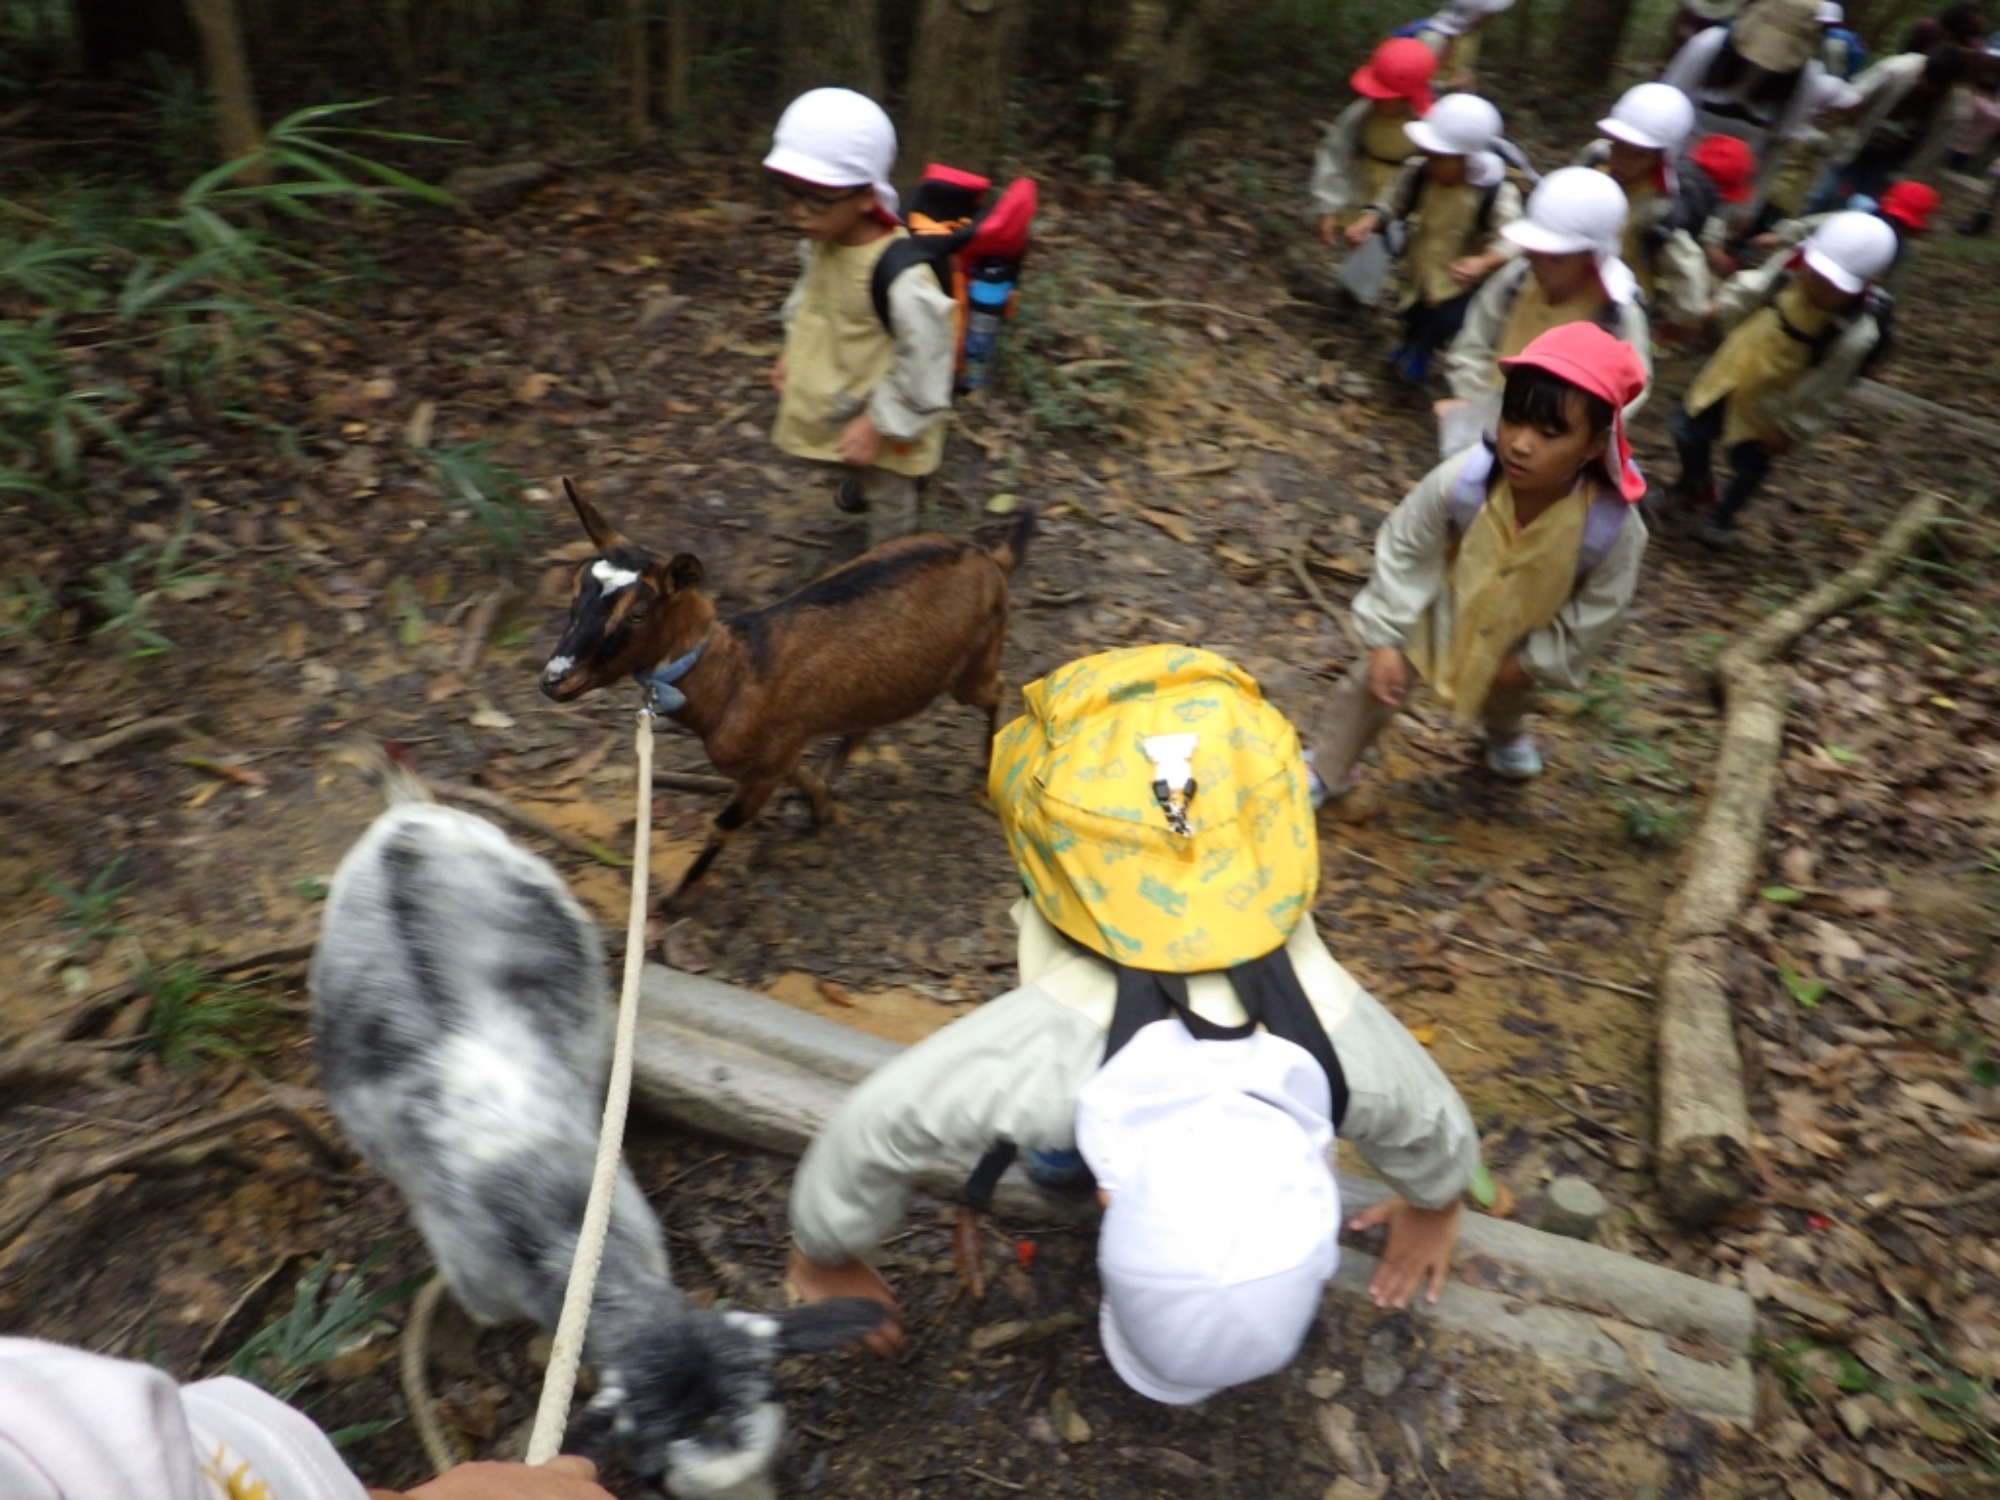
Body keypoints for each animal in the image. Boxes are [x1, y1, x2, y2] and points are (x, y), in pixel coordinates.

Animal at [540, 484, 1032, 904]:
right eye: (574, 590)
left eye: (638, 614)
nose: (554, 679)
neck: (733, 676)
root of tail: (991, 557)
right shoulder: (780, 748)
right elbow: (800, 773)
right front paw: (822, 806)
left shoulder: (764, 765)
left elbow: (724, 824)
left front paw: (673, 901)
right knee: (871, 720)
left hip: (975, 662)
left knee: (997, 689)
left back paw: (987, 760)